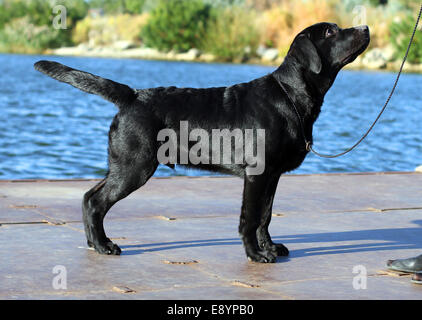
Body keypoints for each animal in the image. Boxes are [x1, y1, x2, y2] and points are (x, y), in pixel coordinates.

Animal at [33, 22, 370, 262]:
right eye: (331, 31)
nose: (366, 28)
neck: (291, 96)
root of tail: (132, 95)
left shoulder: (272, 175)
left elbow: (265, 216)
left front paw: (271, 248)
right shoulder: (256, 174)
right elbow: (250, 217)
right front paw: (256, 254)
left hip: (125, 165)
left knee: (89, 197)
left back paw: (94, 243)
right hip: (134, 166)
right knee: (95, 201)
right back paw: (104, 246)